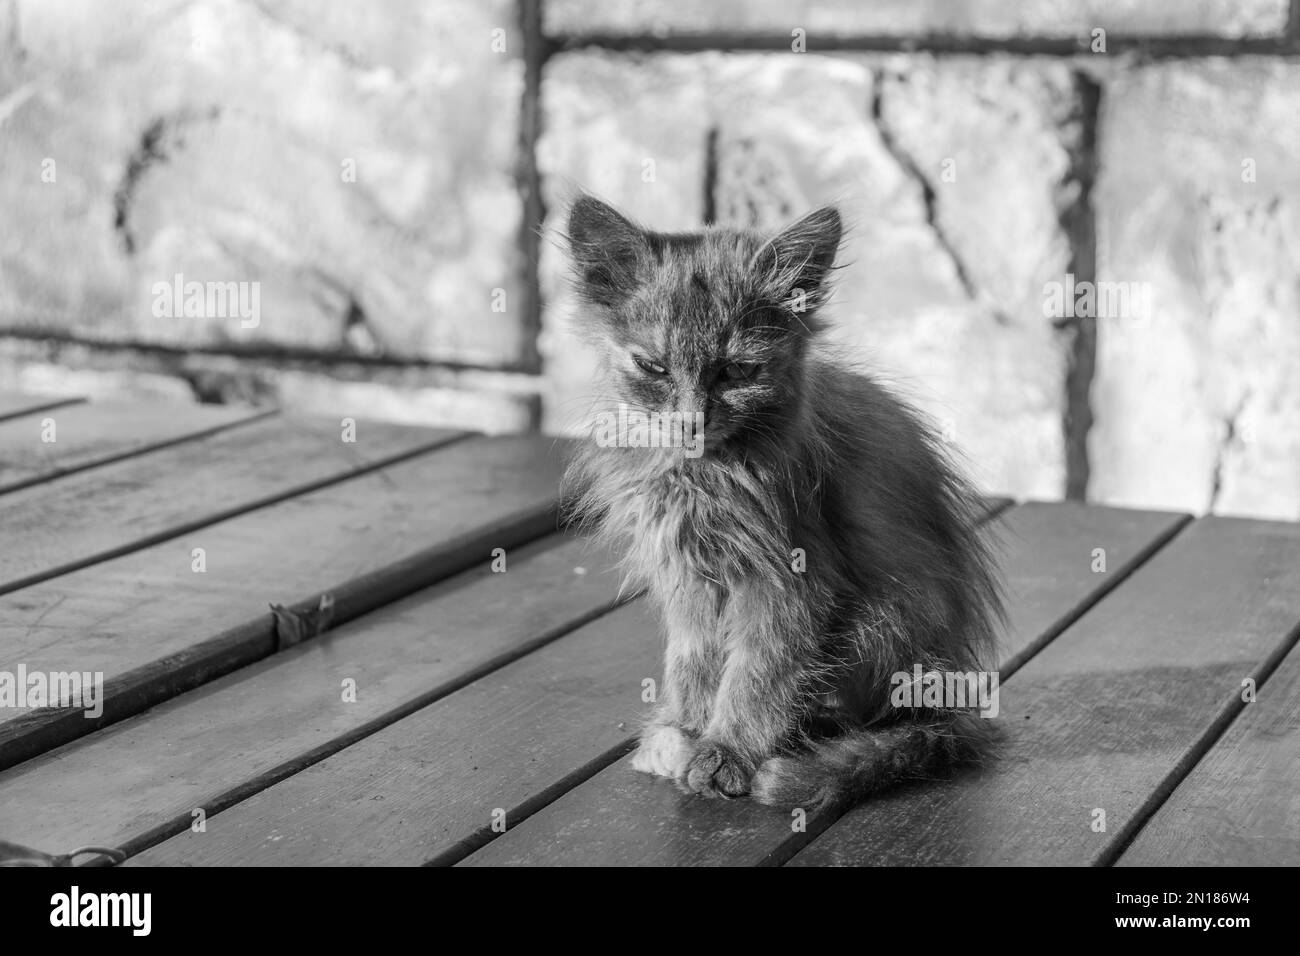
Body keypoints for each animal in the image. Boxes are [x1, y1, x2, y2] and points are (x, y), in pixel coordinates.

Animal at [561, 197, 1003, 811]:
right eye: (653, 367)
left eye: (737, 370)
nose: (690, 420)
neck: (704, 475)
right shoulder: (689, 579)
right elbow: (692, 664)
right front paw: (685, 731)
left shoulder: (792, 580)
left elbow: (757, 676)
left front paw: (725, 752)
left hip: (883, 620)